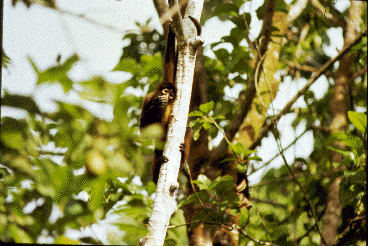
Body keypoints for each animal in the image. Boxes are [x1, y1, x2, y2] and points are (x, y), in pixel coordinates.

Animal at [139, 16, 201, 184]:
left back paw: (181, 159)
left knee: (189, 130)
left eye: (172, 94)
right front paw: (156, 104)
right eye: (166, 91)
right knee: (157, 151)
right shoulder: (148, 97)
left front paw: (172, 33)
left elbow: (170, 61)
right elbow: (143, 130)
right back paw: (156, 178)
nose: (167, 96)